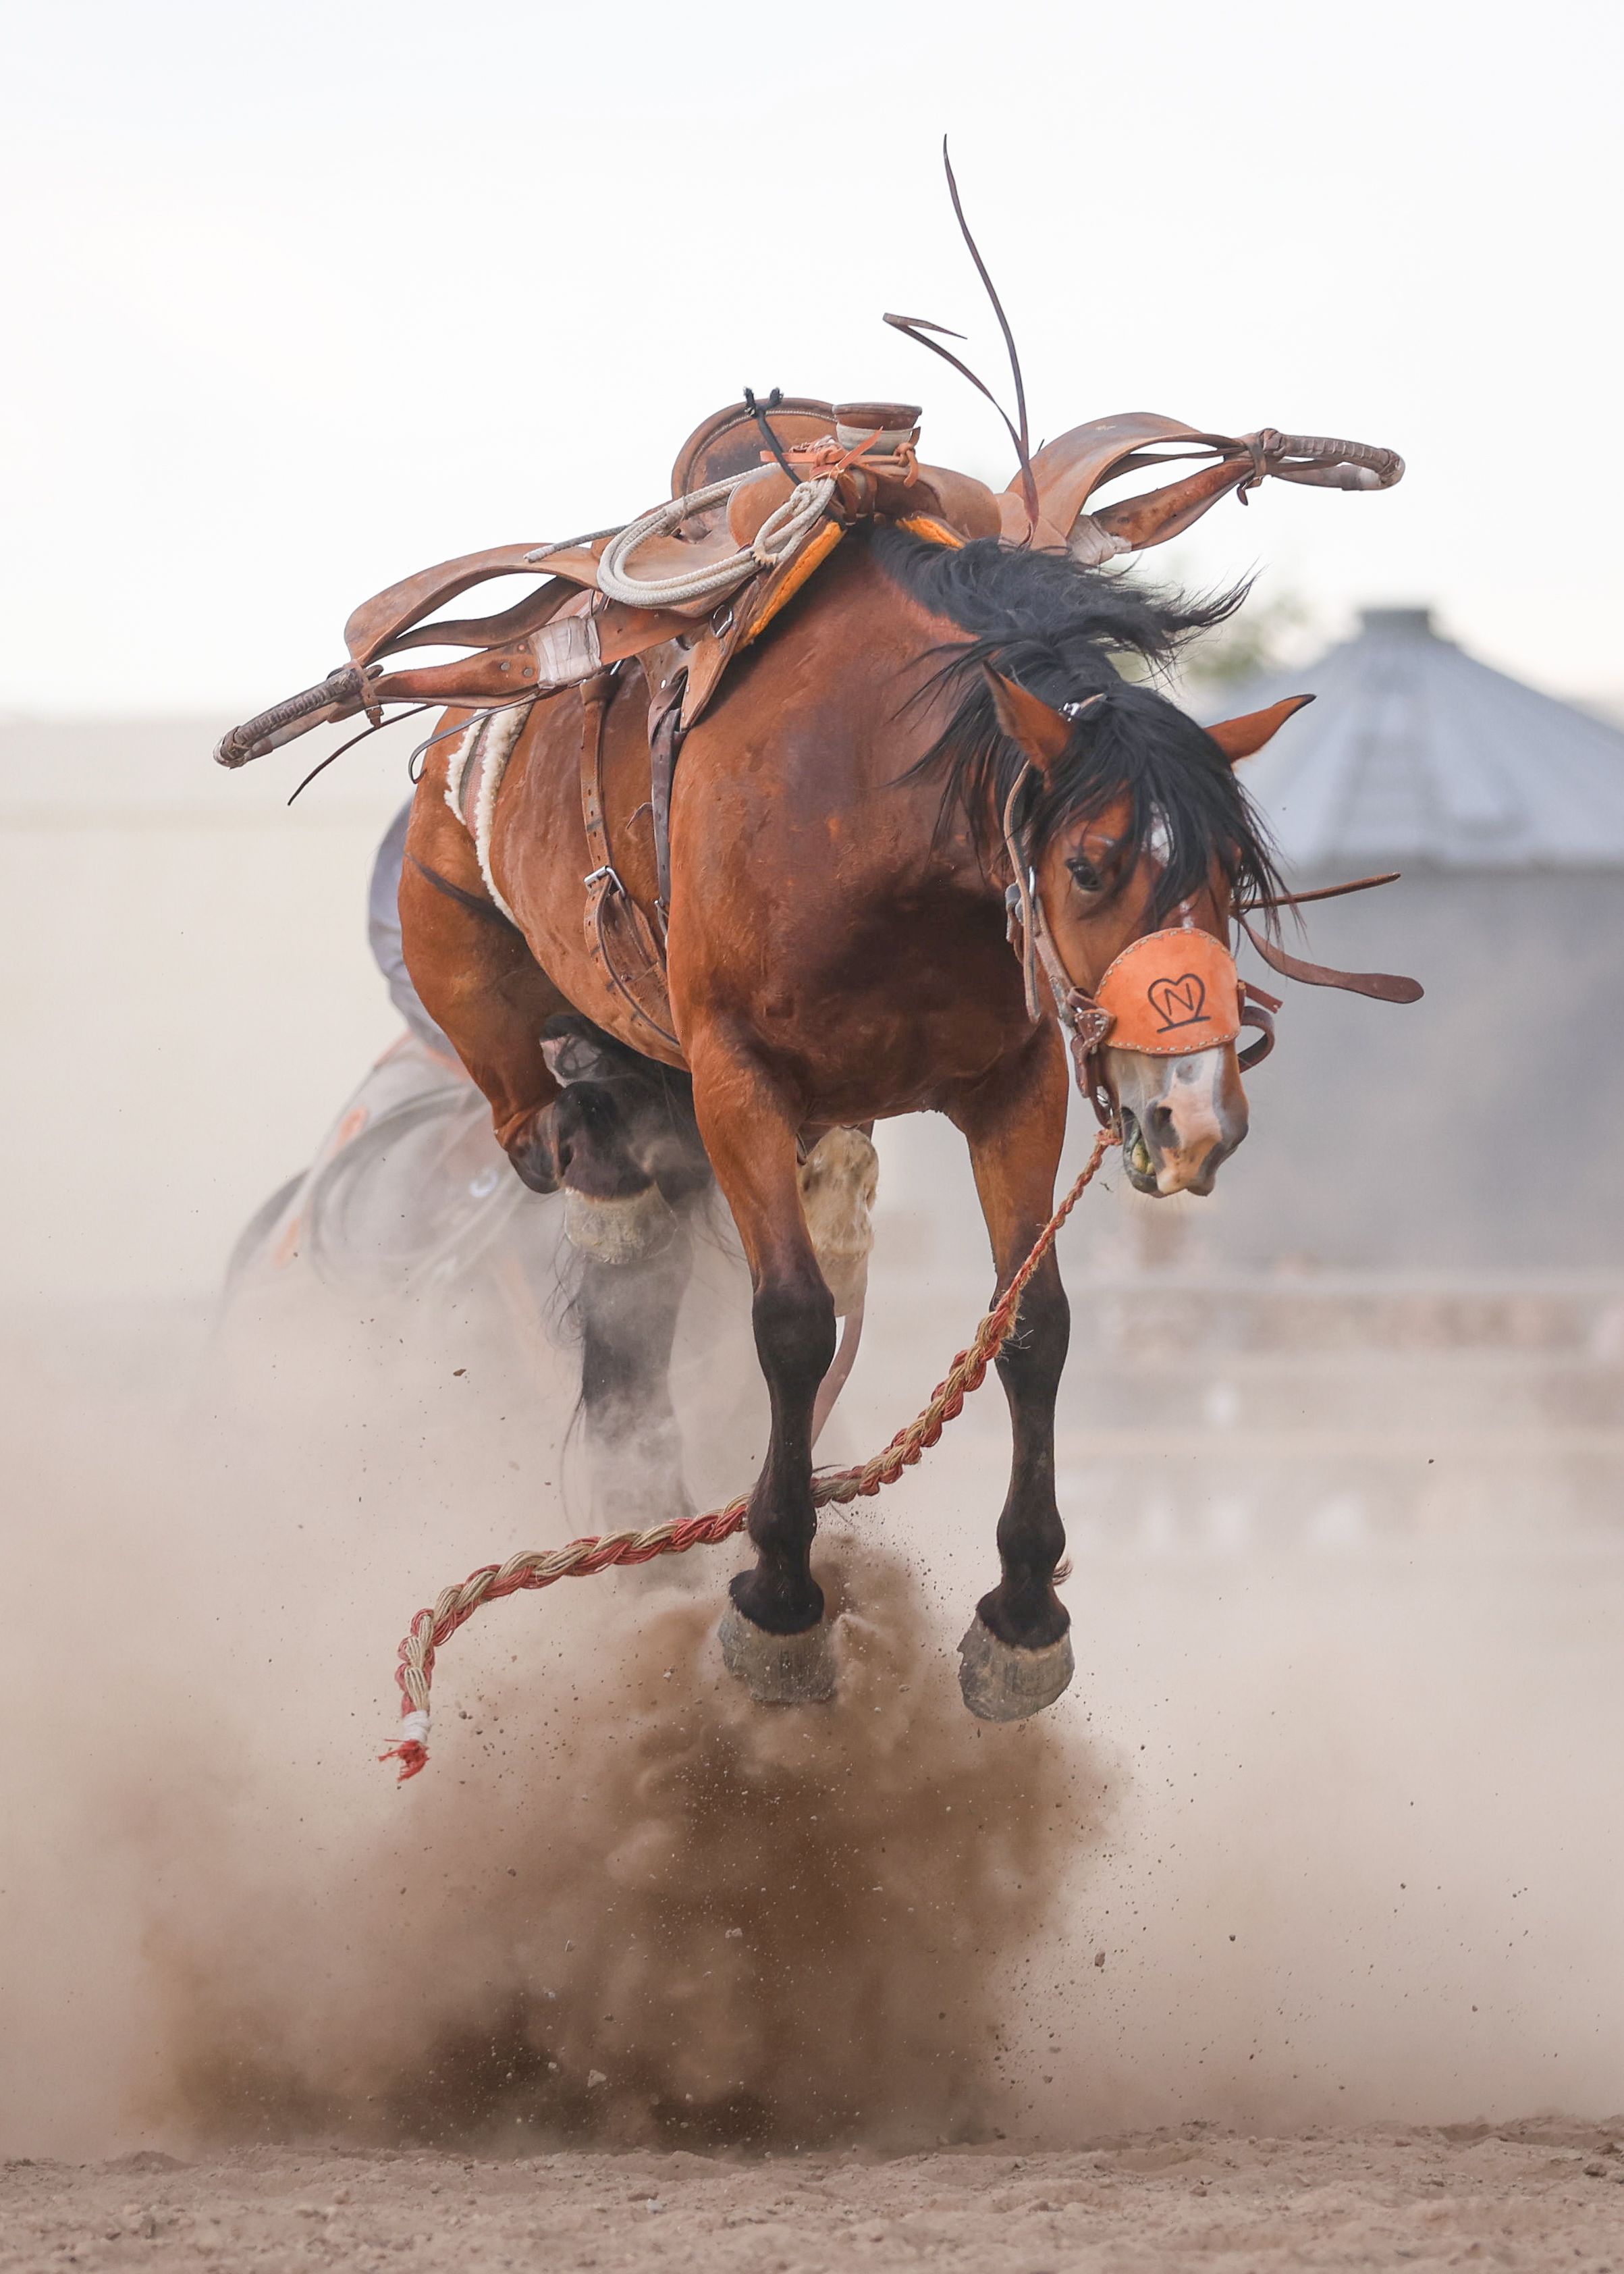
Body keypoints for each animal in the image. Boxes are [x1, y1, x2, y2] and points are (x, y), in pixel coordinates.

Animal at [394, 520, 1299, 1721]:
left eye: (1232, 874)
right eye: (1088, 865)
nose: (1193, 1112)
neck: (873, 811)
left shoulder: (1016, 1088)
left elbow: (1034, 1325)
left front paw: (1023, 1615)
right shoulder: (735, 1080)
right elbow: (791, 1323)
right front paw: (778, 1596)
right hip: (540, 1058)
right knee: (588, 1188)